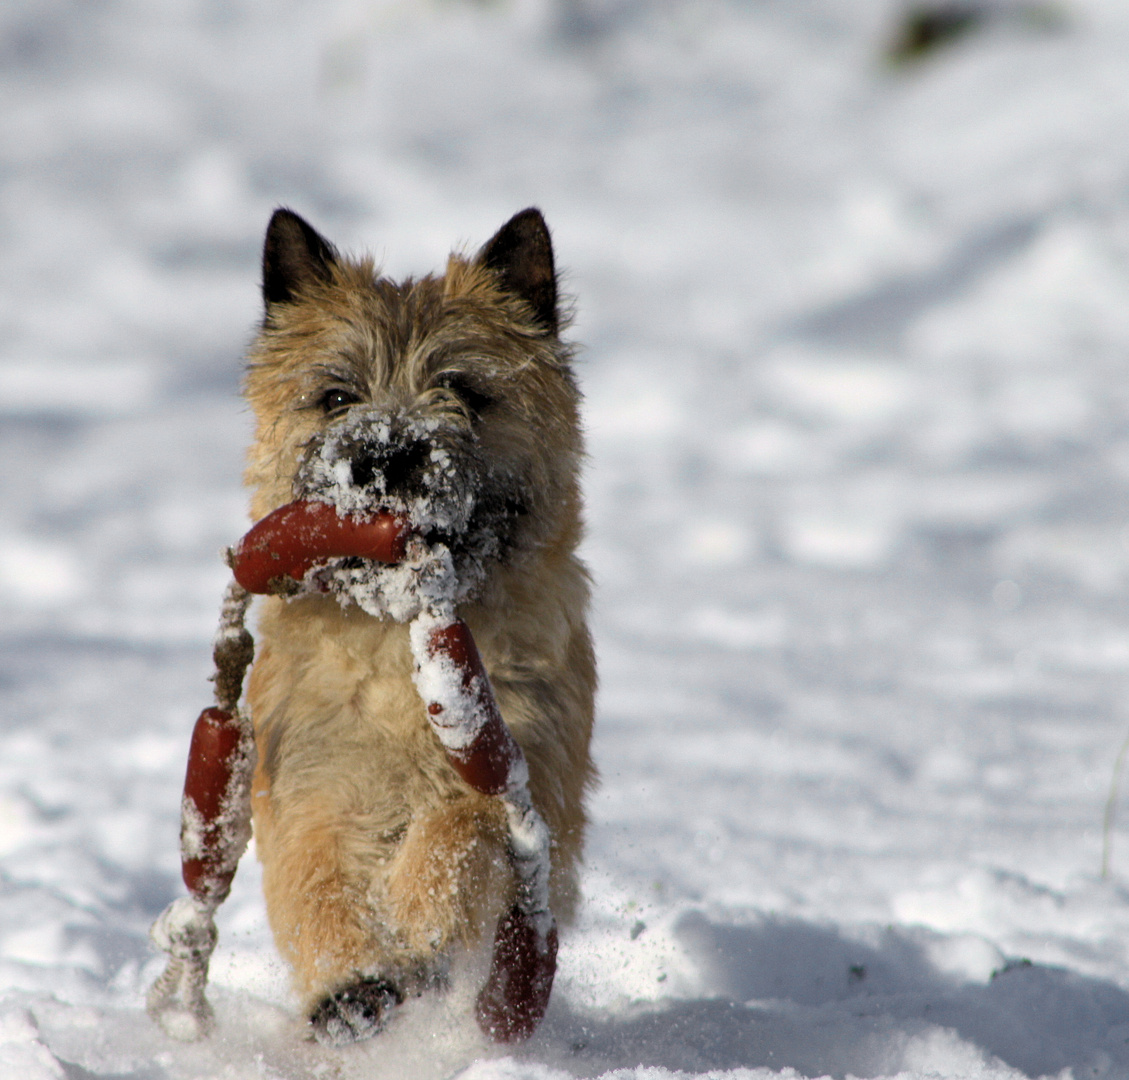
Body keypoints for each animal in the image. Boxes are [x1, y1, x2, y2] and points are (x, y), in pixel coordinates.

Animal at [239, 206, 600, 1042]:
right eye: (335, 396)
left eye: (462, 388)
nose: (385, 458)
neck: (394, 646)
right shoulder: (309, 781)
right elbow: (312, 877)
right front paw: (352, 982)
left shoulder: (520, 774)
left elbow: (457, 830)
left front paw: (415, 917)